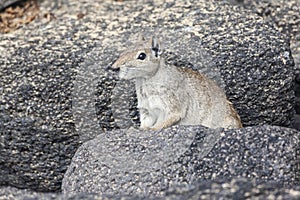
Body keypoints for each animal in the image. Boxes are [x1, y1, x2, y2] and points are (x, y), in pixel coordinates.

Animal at [111, 35, 243, 130]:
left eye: (142, 56)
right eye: (124, 51)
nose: (114, 68)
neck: (145, 80)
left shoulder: (171, 104)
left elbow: (167, 120)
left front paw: (151, 129)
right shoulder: (146, 110)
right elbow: (145, 122)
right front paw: (139, 128)